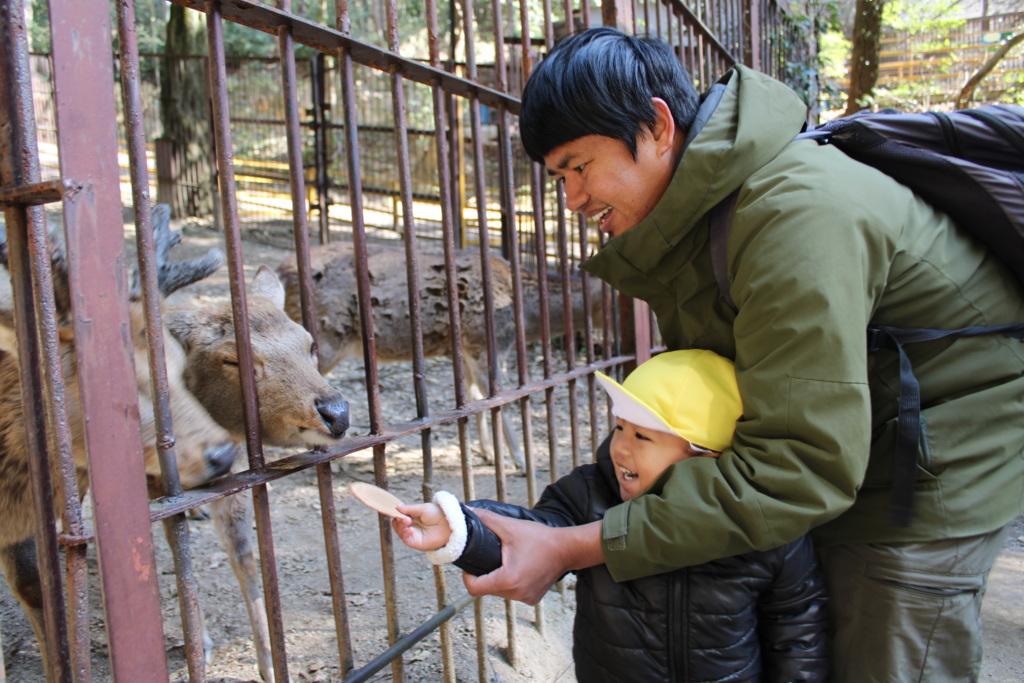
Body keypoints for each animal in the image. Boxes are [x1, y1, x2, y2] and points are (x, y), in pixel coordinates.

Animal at [276, 241, 605, 472]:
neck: (524, 316)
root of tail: (281, 273)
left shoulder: (469, 350)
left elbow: (475, 399)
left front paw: (487, 453)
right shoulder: (486, 342)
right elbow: (500, 400)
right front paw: (521, 462)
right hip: (327, 337)